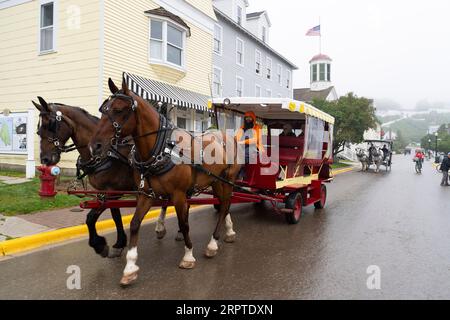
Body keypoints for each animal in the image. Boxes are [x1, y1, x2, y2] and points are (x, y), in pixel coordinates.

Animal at [32, 97, 171, 258]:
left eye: (51, 125)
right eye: (38, 130)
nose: (45, 159)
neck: (107, 154)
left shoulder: (112, 192)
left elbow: (91, 218)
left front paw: (99, 245)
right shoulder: (108, 192)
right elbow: (115, 215)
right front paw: (119, 243)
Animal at [89, 79, 241, 286]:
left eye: (119, 110)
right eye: (103, 108)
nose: (94, 146)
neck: (161, 149)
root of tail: (225, 135)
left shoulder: (178, 194)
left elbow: (184, 224)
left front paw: (188, 256)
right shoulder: (145, 194)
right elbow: (135, 223)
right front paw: (130, 268)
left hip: (227, 180)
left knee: (225, 205)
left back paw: (212, 244)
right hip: (215, 181)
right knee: (224, 205)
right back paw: (225, 233)